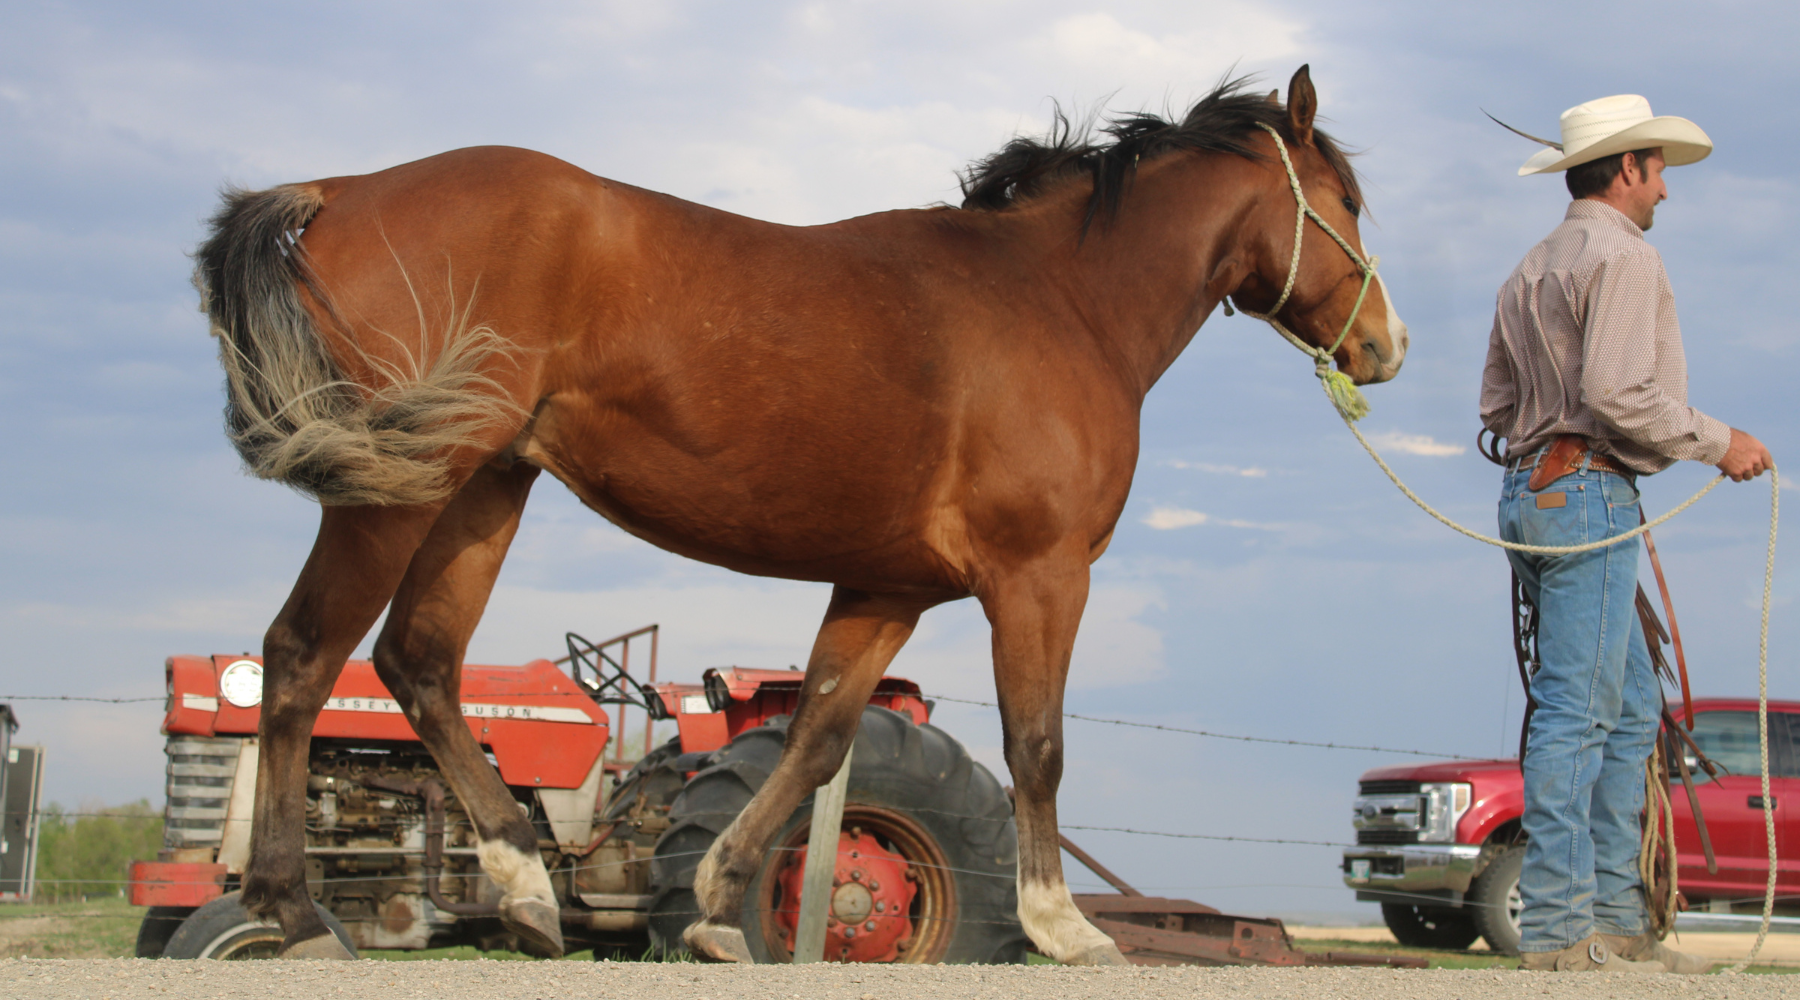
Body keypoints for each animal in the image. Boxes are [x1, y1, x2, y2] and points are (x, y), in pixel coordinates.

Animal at [193, 65, 1405, 964]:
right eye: (1346, 203)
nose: (1386, 347)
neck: (1059, 302)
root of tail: (343, 186)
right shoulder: (1042, 575)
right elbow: (1039, 744)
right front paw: (1065, 926)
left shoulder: (886, 586)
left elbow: (818, 740)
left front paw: (722, 909)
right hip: (398, 490)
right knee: (302, 656)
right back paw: (295, 913)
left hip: (483, 488)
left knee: (420, 661)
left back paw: (526, 889)